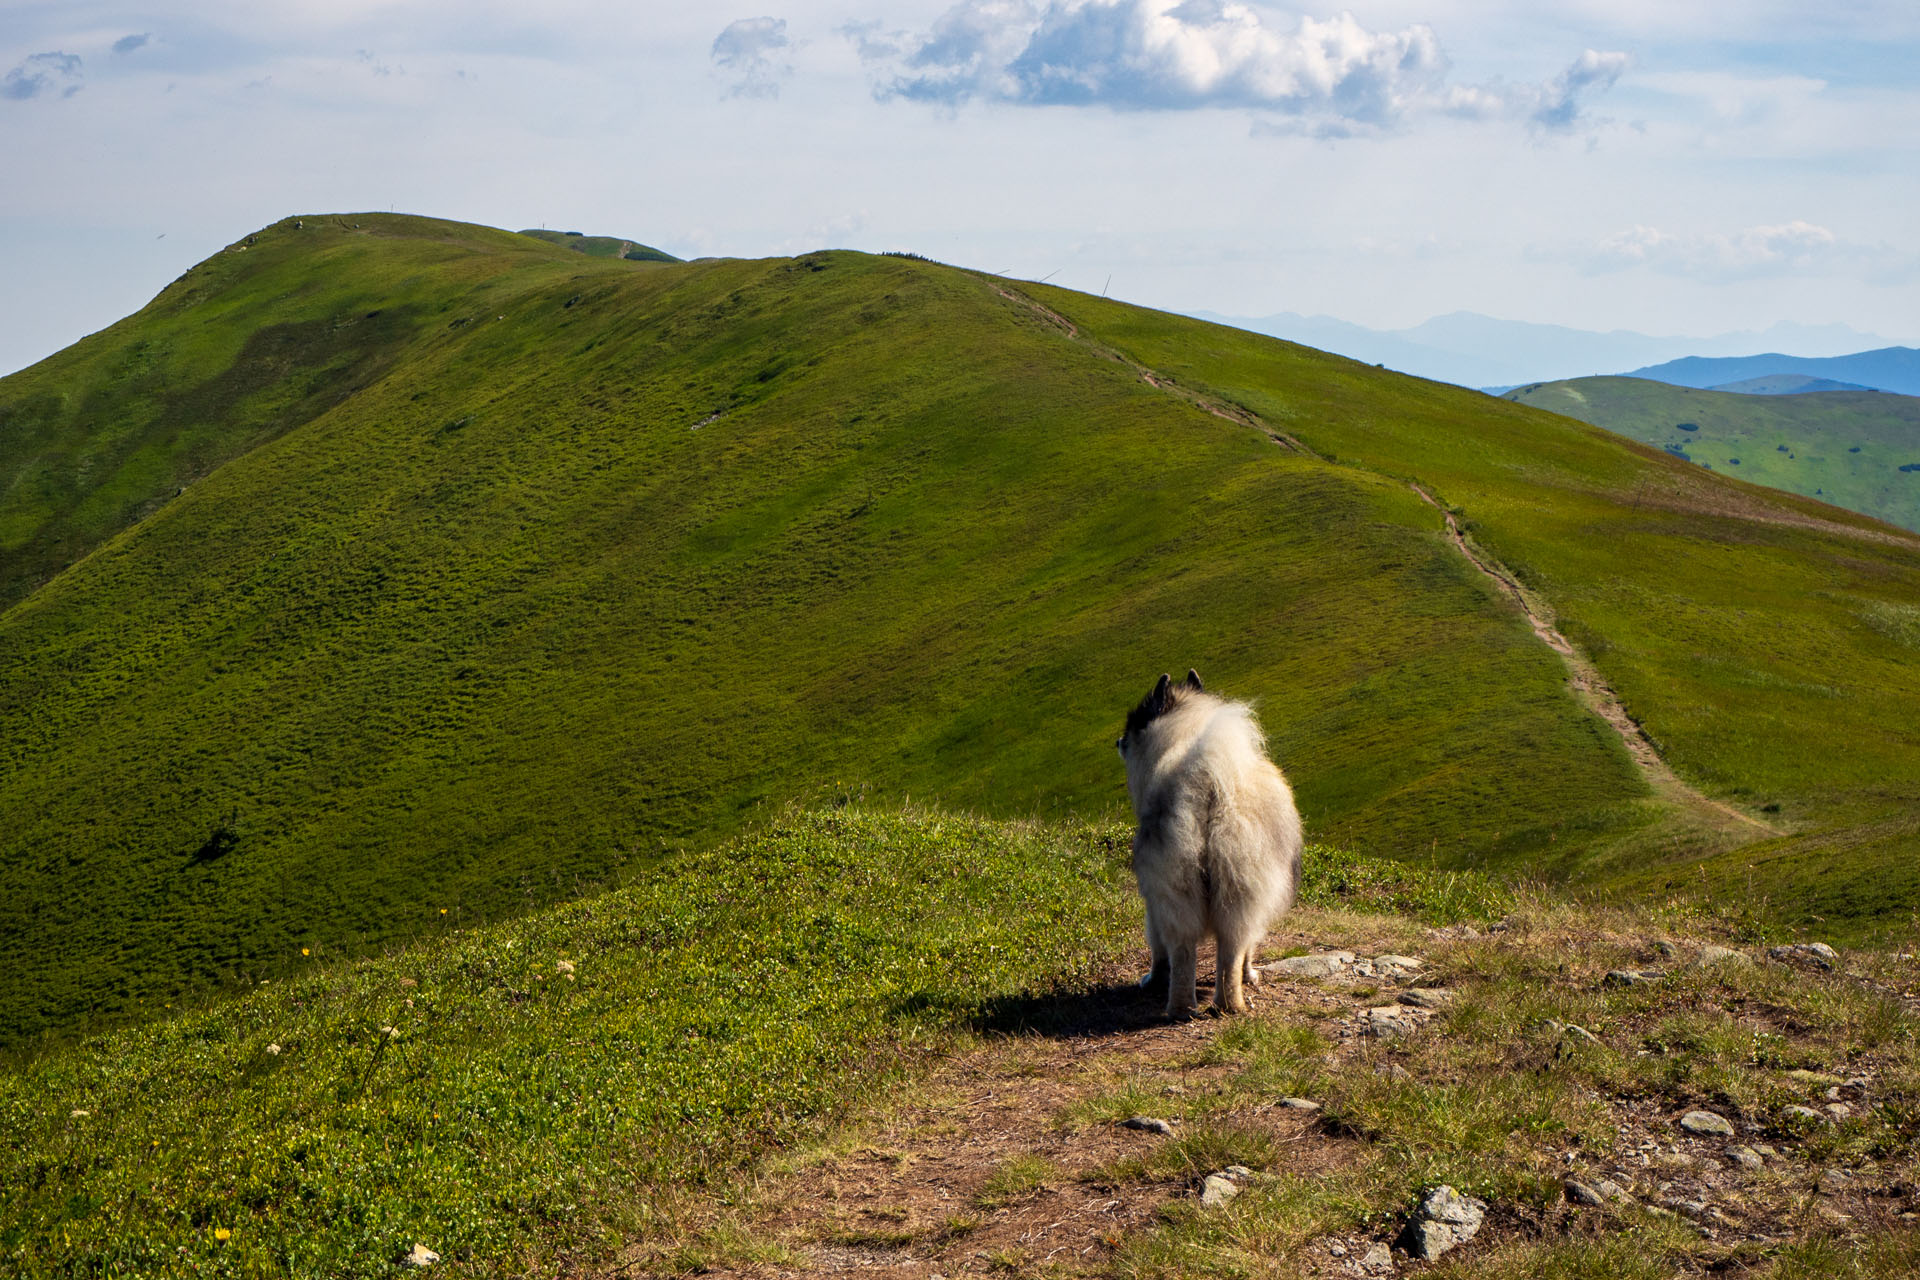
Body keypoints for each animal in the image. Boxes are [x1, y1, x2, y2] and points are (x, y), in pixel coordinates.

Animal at [1113, 671, 1305, 1020]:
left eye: (1135, 721)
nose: (1118, 742)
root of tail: (1206, 782)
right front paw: (1251, 975)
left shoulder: (1151, 899)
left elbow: (1157, 945)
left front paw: (1152, 979)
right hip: (1240, 891)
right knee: (1232, 949)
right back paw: (1231, 1003)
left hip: (1175, 887)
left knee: (1181, 951)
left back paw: (1180, 1007)